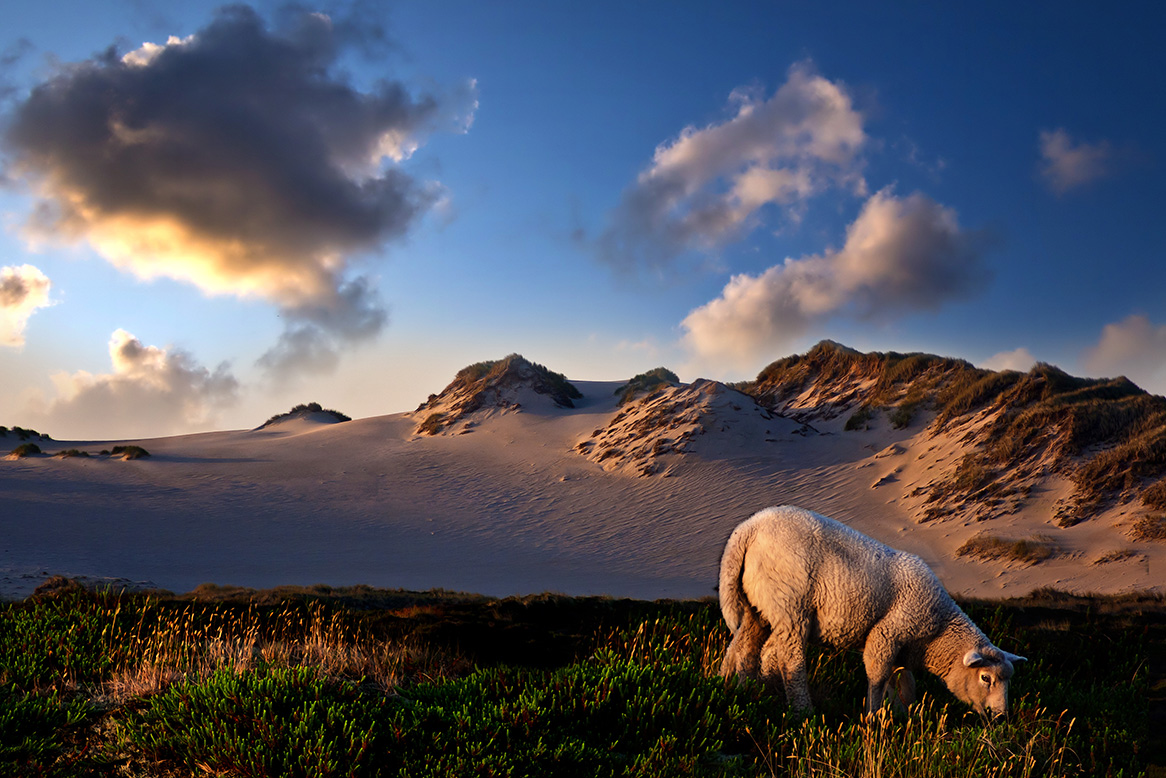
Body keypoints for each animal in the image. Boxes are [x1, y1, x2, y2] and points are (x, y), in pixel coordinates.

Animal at [713, 506, 1026, 718]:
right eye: (986, 678)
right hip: (790, 603)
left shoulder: (904, 648)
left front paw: (902, 714)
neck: (937, 632)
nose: (1000, 717)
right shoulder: (888, 633)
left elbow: (904, 682)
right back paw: (804, 712)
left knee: (743, 646)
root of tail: (748, 529)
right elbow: (878, 676)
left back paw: (734, 689)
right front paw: (873, 717)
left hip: (756, 603)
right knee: (790, 658)